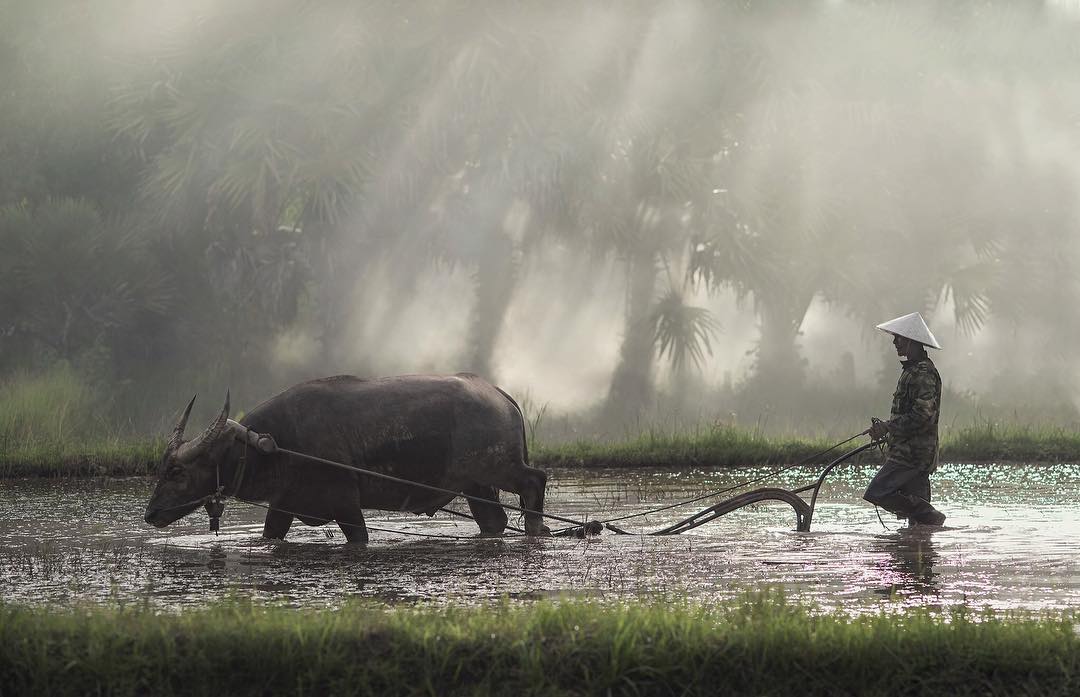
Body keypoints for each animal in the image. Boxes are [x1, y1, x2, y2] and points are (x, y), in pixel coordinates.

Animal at [143, 371, 548, 540]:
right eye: (162, 469)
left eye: (177, 472)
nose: (151, 514)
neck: (277, 445)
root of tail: (500, 395)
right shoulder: (283, 506)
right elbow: (269, 535)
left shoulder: (346, 506)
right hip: (477, 486)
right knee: (494, 522)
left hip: (499, 467)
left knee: (535, 480)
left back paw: (536, 529)